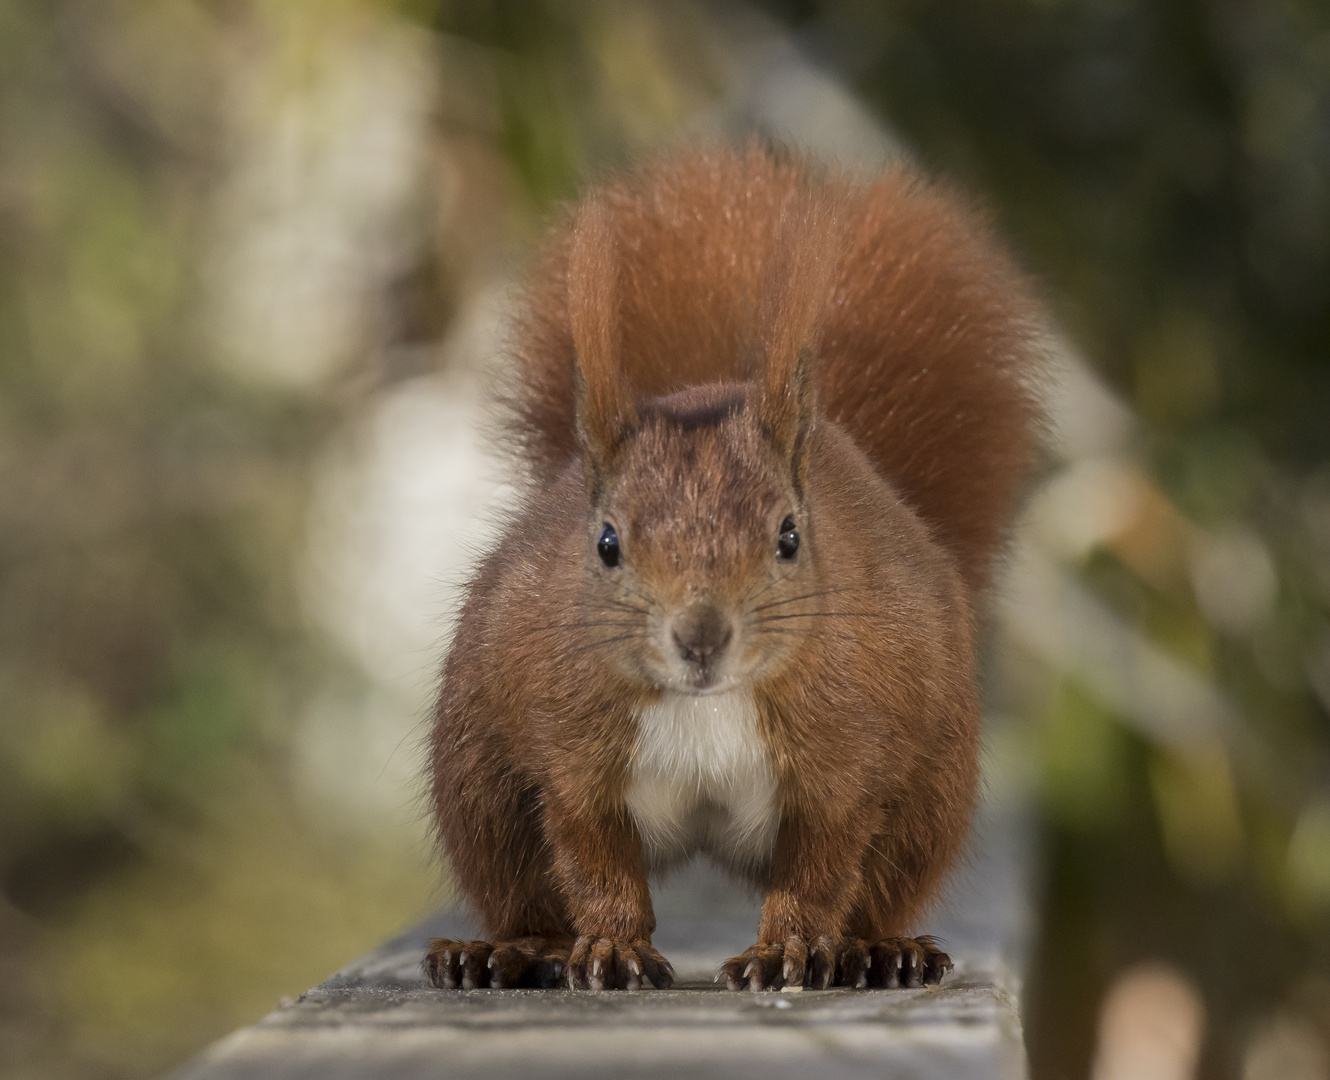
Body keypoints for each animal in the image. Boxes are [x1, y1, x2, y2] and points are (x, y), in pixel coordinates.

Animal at [420, 145, 1042, 994]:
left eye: (788, 537)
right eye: (607, 544)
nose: (701, 636)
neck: (705, 705)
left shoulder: (843, 755)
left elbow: (818, 869)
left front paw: (789, 949)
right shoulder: (572, 754)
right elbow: (594, 865)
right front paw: (612, 947)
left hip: (929, 796)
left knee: (879, 887)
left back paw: (880, 949)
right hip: (480, 784)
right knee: (525, 886)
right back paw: (511, 949)